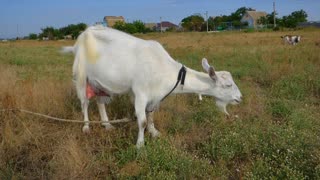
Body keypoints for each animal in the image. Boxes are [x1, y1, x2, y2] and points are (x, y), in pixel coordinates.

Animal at [62, 26, 242, 148]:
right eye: (228, 85)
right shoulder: (140, 93)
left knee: (100, 101)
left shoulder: (156, 96)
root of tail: (81, 37)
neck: (165, 70)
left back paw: (107, 125)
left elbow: (151, 115)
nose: (239, 98)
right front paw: (140, 145)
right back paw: (86, 127)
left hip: (100, 81)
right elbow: (141, 121)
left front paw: (154, 132)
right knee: (84, 103)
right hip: (81, 75)